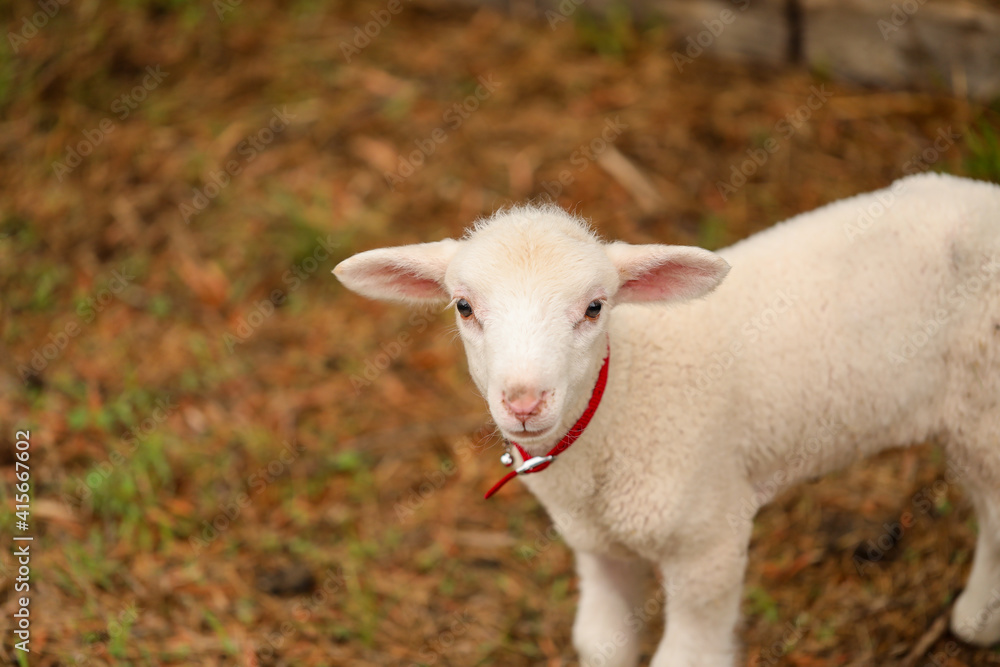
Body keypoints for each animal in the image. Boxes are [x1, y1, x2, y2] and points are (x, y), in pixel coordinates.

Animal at [333, 172, 1000, 667]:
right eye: (464, 307)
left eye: (595, 307)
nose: (524, 402)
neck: (624, 404)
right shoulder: (597, 547)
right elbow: (601, 645)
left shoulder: (708, 539)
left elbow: (686, 657)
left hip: (982, 411)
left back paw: (977, 619)